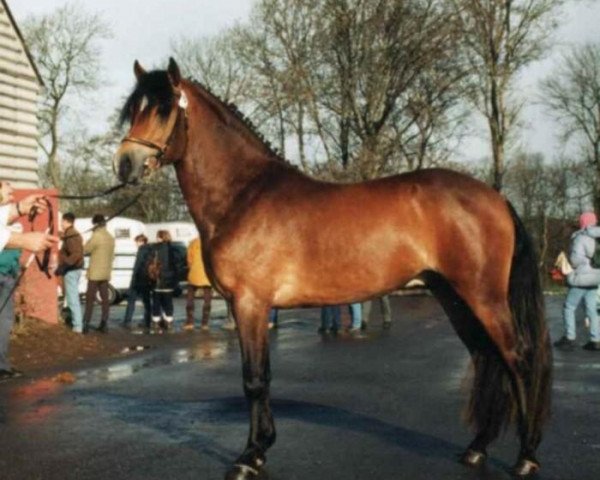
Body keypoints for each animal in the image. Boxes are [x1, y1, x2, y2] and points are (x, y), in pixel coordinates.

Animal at [113, 60, 552, 480]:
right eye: (134, 109)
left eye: (164, 110)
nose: (125, 164)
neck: (244, 194)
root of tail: (496, 197)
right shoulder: (253, 307)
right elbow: (262, 376)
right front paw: (261, 449)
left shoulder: (250, 304)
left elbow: (254, 379)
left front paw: (249, 457)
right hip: (453, 296)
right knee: (486, 357)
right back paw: (477, 448)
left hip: (483, 296)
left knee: (516, 358)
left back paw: (527, 457)